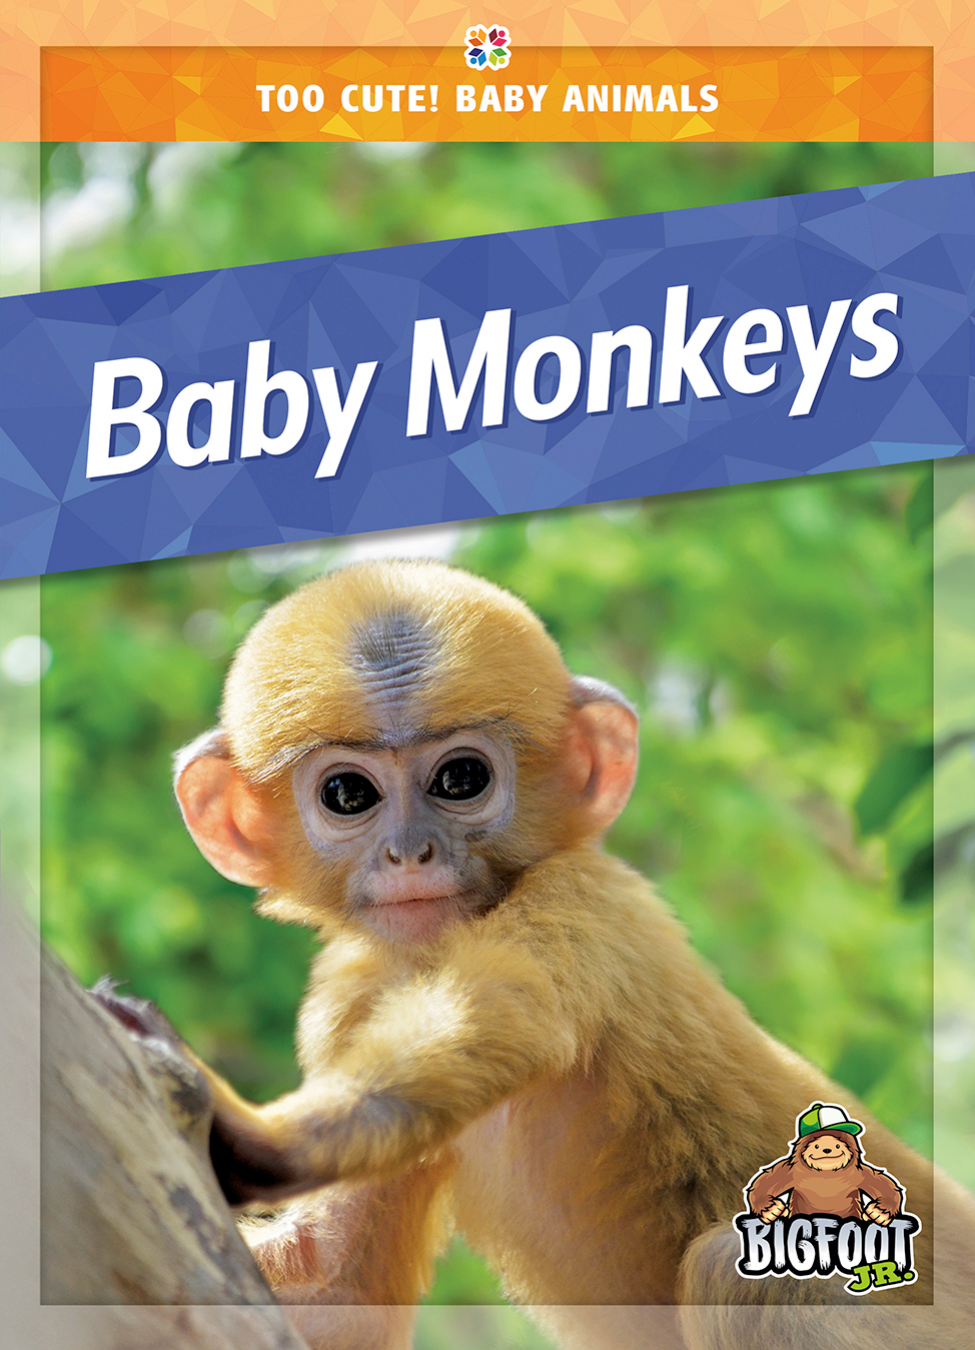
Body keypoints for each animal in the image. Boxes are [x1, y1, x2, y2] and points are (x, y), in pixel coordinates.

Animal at [98, 559, 975, 1350]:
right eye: (347, 794)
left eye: (460, 778)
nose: (410, 854)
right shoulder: (347, 995)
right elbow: (338, 1297)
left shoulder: (580, 898)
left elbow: (505, 1009)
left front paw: (254, 1137)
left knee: (747, 1278)